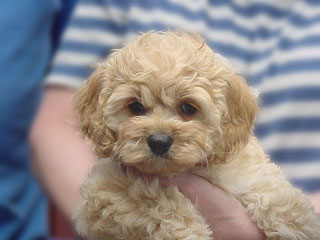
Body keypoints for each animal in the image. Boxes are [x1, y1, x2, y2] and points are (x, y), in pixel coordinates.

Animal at [72, 31, 320, 240]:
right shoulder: (102, 193)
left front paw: (300, 224)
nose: (159, 142)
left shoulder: (244, 171)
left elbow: (271, 186)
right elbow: (152, 198)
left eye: (188, 108)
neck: (181, 169)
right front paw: (187, 230)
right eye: (135, 106)